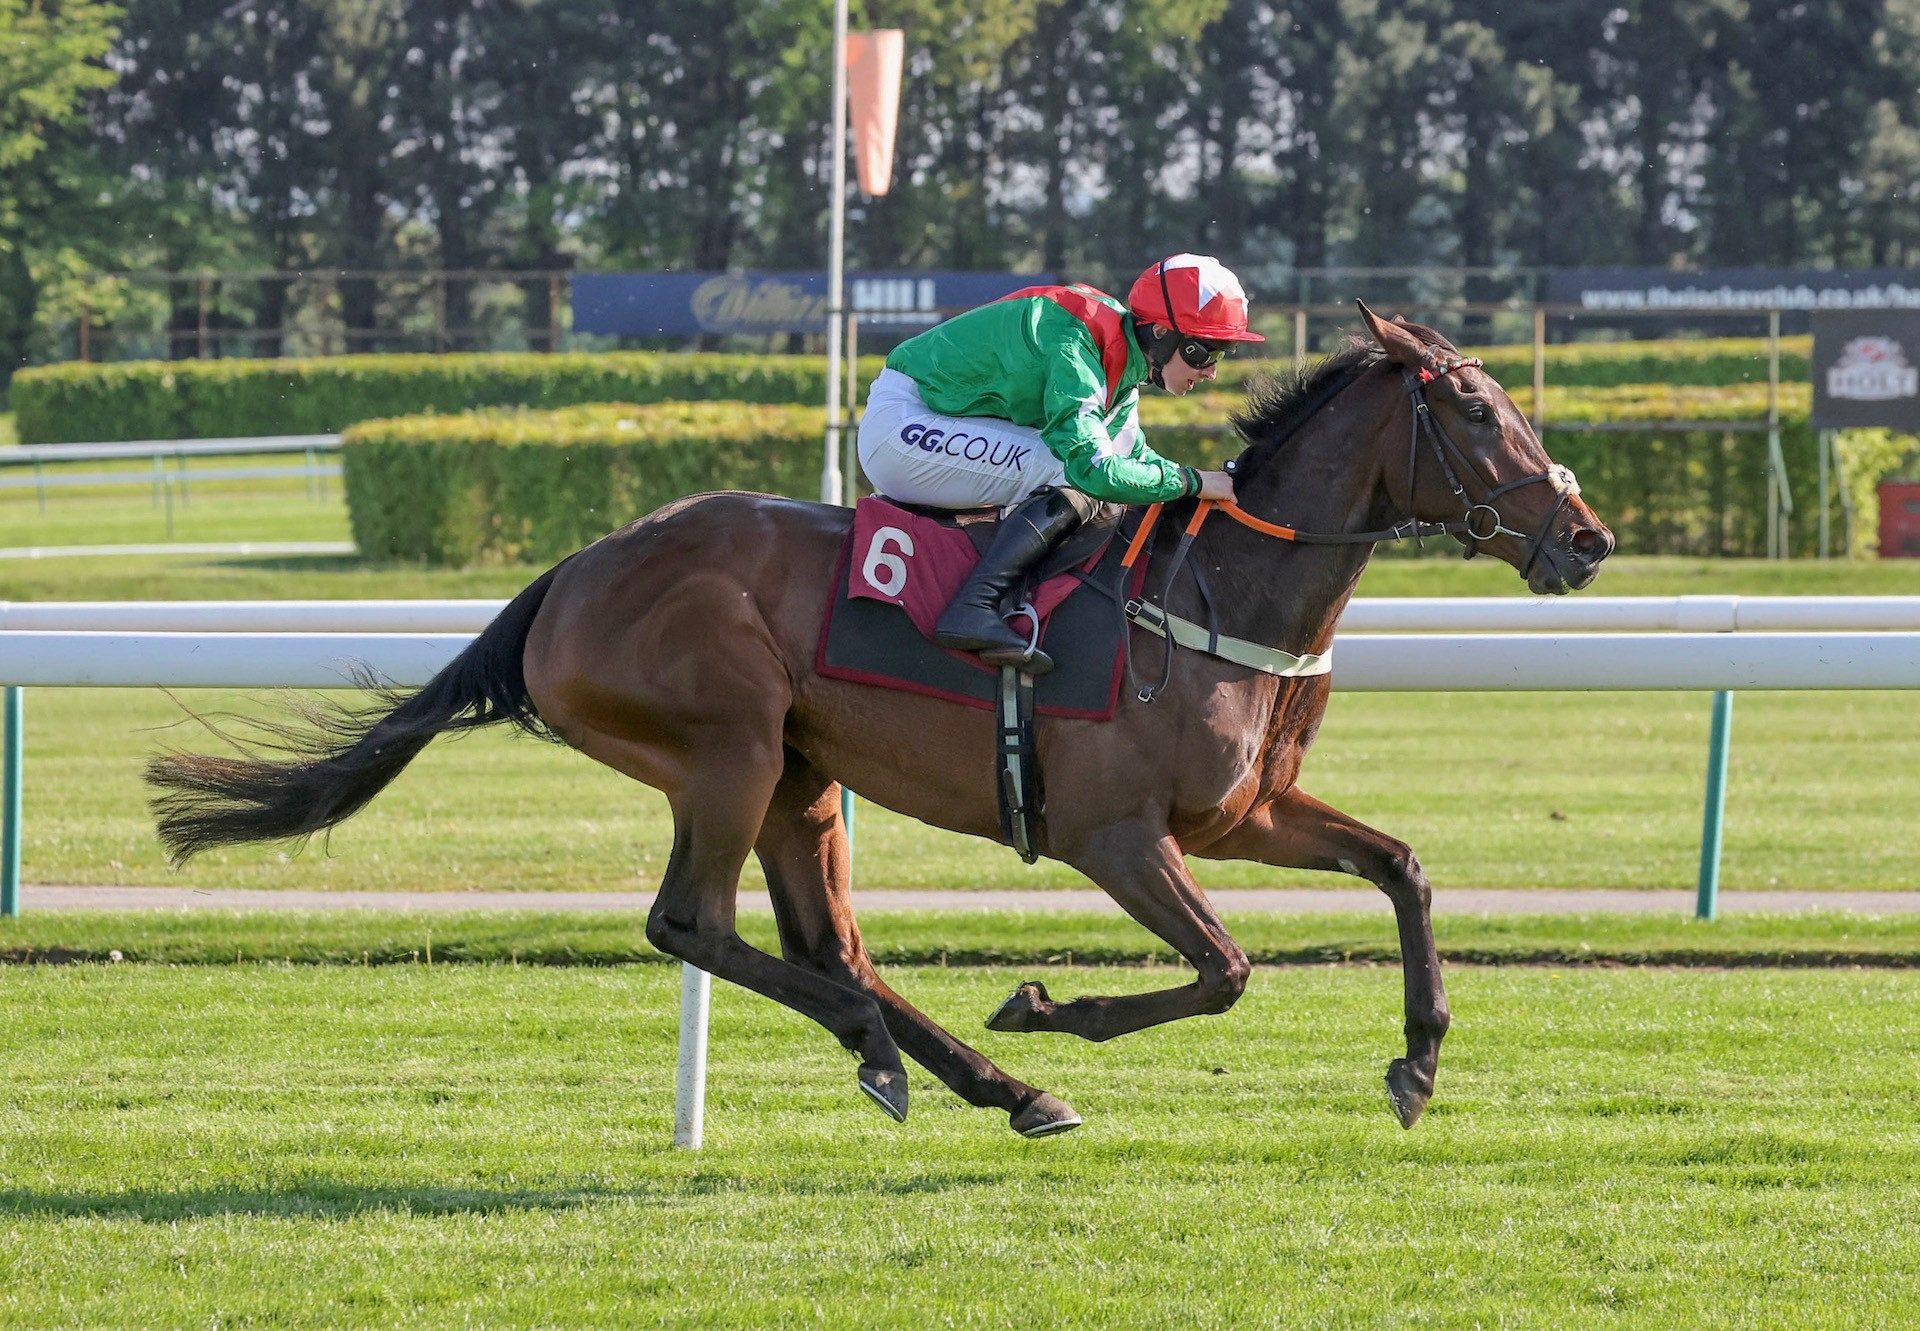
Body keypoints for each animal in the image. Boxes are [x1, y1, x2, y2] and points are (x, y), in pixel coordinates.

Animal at [149, 305, 1612, 1137]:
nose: (1588, 537)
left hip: (801, 775)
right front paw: (1046, 1003)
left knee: (828, 943)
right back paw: (929, 1053)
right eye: (1473, 406)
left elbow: (1403, 867)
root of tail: (572, 572)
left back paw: (987, 1084)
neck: (1216, 587)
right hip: (728, 748)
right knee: (695, 924)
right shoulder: (1115, 833)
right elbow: (1225, 968)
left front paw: (1417, 1064)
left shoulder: (1242, 813)